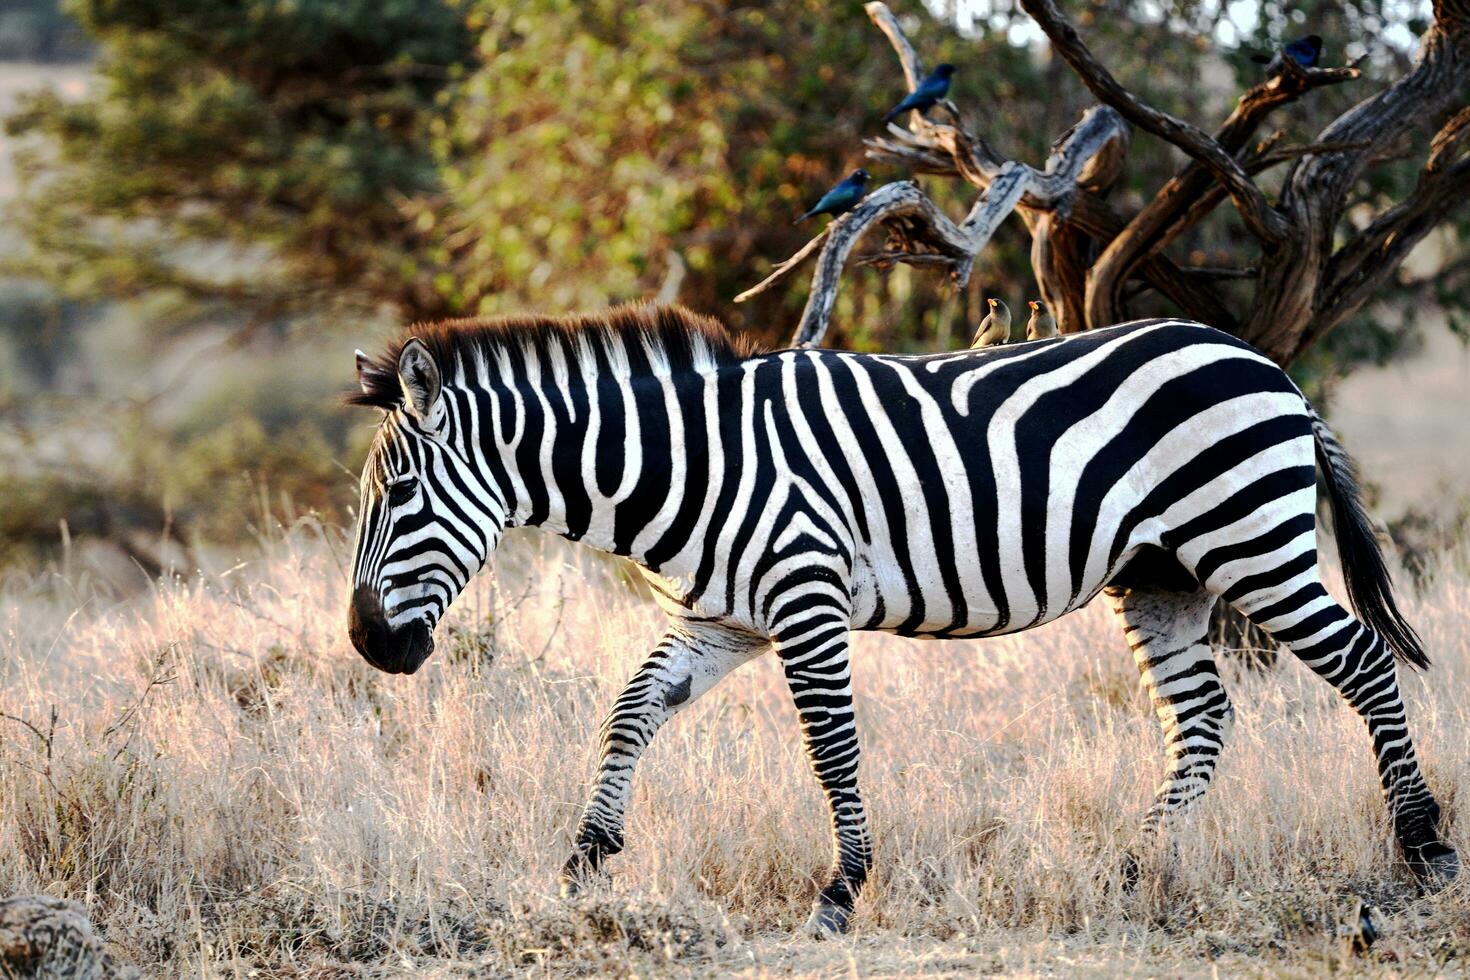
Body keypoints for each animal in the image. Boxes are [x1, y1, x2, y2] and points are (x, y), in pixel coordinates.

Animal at [346, 304, 1458, 934]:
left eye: (399, 497)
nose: (368, 644)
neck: (686, 464)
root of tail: (1271, 368)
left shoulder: (806, 597)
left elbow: (831, 746)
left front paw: (841, 891)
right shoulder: (723, 619)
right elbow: (630, 711)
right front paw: (584, 857)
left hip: (1250, 538)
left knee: (1364, 662)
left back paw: (1425, 848)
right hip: (1163, 575)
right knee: (1204, 717)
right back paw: (1137, 867)